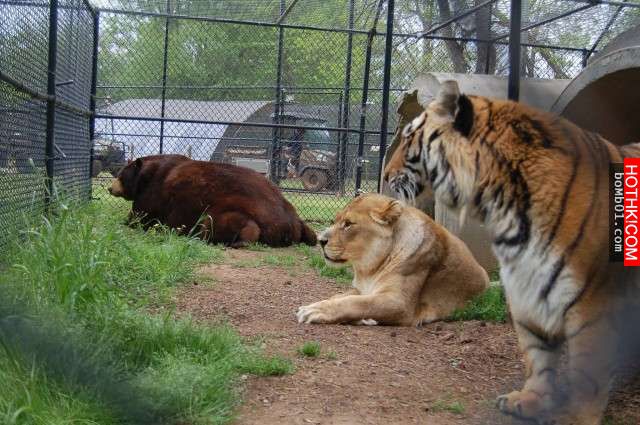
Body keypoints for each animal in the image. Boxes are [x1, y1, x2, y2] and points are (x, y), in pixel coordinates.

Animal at [108, 154, 317, 247]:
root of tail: (289, 226)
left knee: (220, 223)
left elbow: (140, 216)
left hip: (227, 209)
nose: (110, 188)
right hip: (297, 218)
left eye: (120, 175)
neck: (147, 176)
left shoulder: (153, 193)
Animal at [383, 80, 640, 425]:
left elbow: (588, 372)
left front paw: (575, 417)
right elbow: (537, 355)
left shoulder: (593, 302)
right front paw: (530, 400)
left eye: (409, 137)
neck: (502, 207)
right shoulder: (526, 284)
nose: (385, 174)